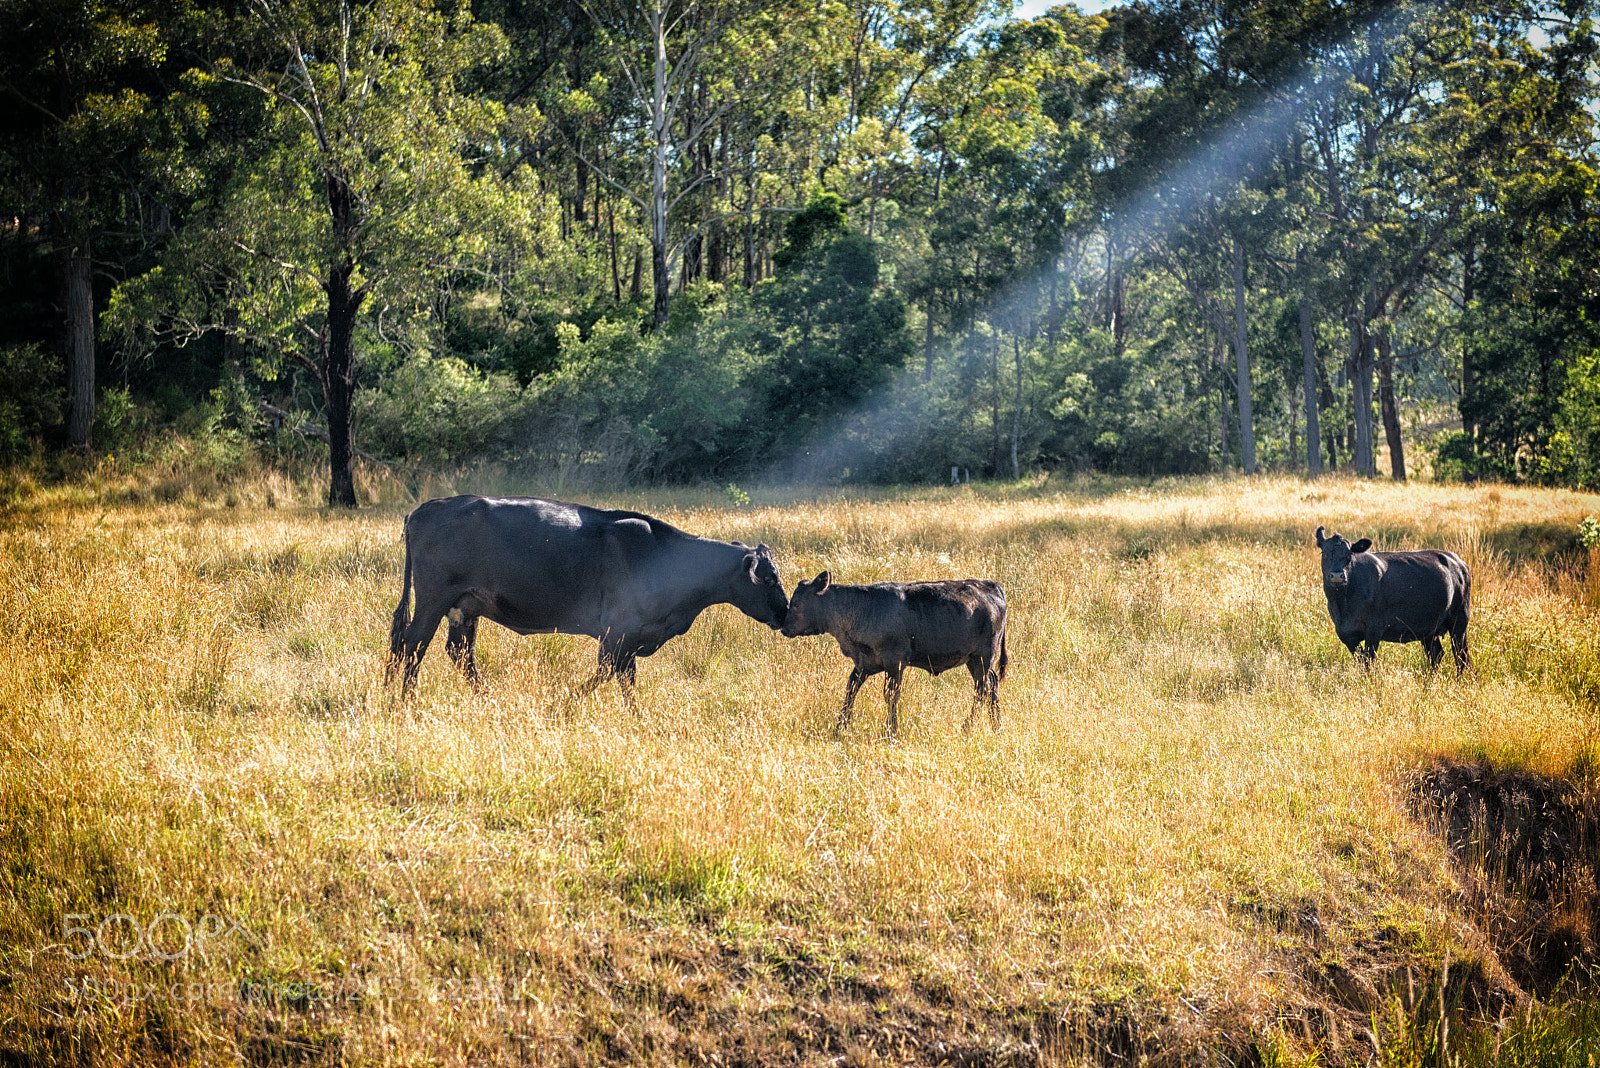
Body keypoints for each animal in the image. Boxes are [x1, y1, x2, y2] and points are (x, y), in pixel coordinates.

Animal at [386, 495, 789, 701]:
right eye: (769, 578)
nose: (785, 614)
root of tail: (423, 508)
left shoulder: (630, 639)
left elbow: (626, 682)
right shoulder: (618, 632)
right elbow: (606, 673)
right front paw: (563, 705)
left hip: (465, 606)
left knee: (457, 651)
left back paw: (485, 698)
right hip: (434, 598)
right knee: (413, 644)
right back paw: (405, 702)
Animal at [779, 571, 1008, 739]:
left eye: (797, 604)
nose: (784, 627)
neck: (862, 608)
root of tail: (988, 584)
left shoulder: (895, 663)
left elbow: (891, 695)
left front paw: (891, 732)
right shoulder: (863, 664)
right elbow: (850, 691)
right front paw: (840, 728)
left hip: (982, 657)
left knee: (982, 689)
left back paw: (968, 727)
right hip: (976, 661)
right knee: (992, 684)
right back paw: (996, 726)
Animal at [1315, 525, 1472, 674]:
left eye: (1349, 555)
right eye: (1324, 553)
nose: (1337, 575)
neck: (1343, 604)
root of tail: (1457, 561)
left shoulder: (1374, 628)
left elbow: (1368, 662)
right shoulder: (1347, 634)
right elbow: (1361, 662)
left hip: (1459, 620)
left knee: (1461, 655)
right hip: (1429, 627)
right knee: (1436, 654)